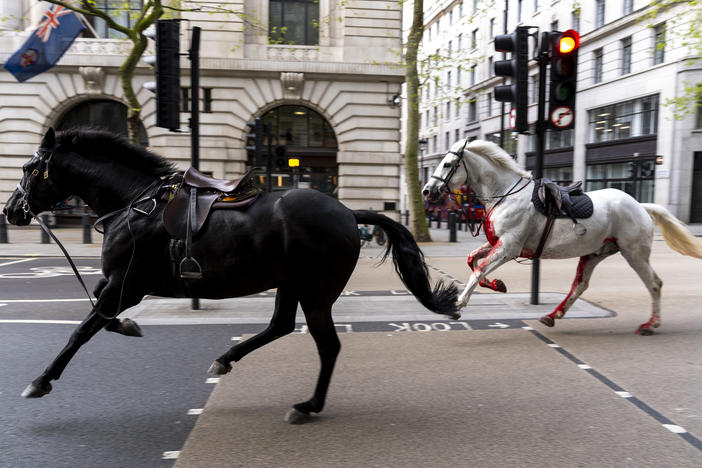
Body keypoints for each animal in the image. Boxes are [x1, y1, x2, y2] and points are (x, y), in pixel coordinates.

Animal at [4, 130, 462, 422]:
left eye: (28, 167)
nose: (10, 211)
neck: (135, 204)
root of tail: (348, 212)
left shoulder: (126, 284)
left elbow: (82, 329)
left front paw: (41, 380)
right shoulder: (117, 284)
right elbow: (98, 316)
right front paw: (130, 326)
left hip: (316, 291)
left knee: (327, 345)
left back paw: (308, 405)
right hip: (290, 284)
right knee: (280, 326)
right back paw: (227, 359)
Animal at [424, 137, 702, 334]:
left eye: (447, 164)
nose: (427, 191)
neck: (506, 195)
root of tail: (641, 206)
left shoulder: (509, 247)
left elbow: (479, 270)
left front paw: (457, 306)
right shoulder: (498, 243)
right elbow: (472, 260)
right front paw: (497, 285)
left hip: (634, 253)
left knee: (654, 284)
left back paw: (651, 325)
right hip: (595, 253)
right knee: (580, 285)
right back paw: (552, 316)